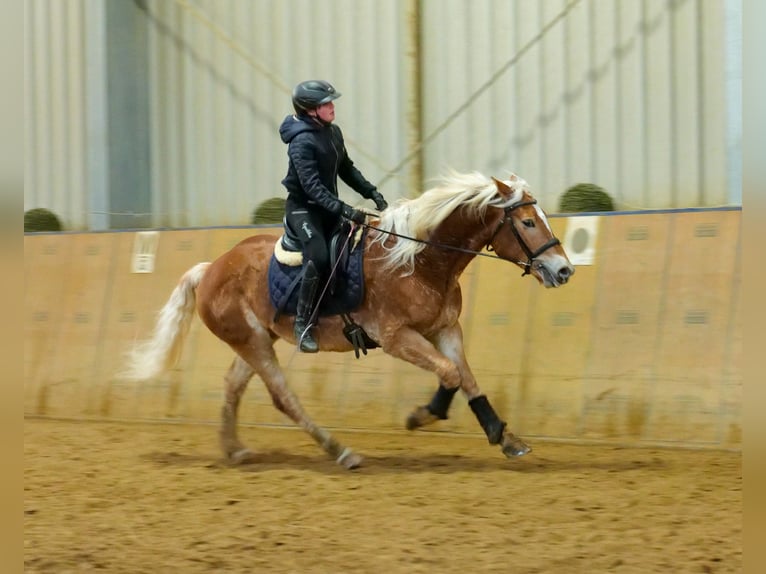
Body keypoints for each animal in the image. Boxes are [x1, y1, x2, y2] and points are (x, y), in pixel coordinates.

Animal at [123, 170, 576, 468]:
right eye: (528, 222)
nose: (563, 271)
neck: (420, 261)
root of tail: (211, 267)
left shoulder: (446, 329)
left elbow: (467, 379)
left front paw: (506, 438)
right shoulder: (396, 337)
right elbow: (449, 374)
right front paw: (422, 416)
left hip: (257, 339)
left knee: (233, 385)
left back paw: (234, 450)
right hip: (253, 342)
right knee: (283, 398)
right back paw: (340, 451)